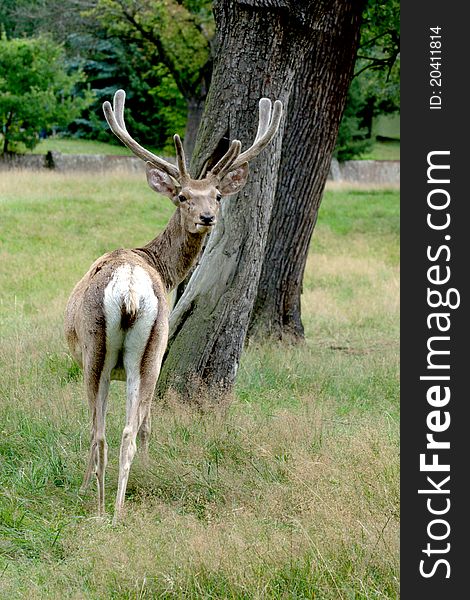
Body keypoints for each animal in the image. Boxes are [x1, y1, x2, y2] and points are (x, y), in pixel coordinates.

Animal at [63, 90, 280, 524]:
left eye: (216, 195)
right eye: (183, 196)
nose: (207, 217)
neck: (159, 266)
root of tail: (130, 288)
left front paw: (90, 484)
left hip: (108, 350)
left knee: (107, 431)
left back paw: (106, 506)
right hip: (142, 352)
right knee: (121, 431)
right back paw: (114, 504)